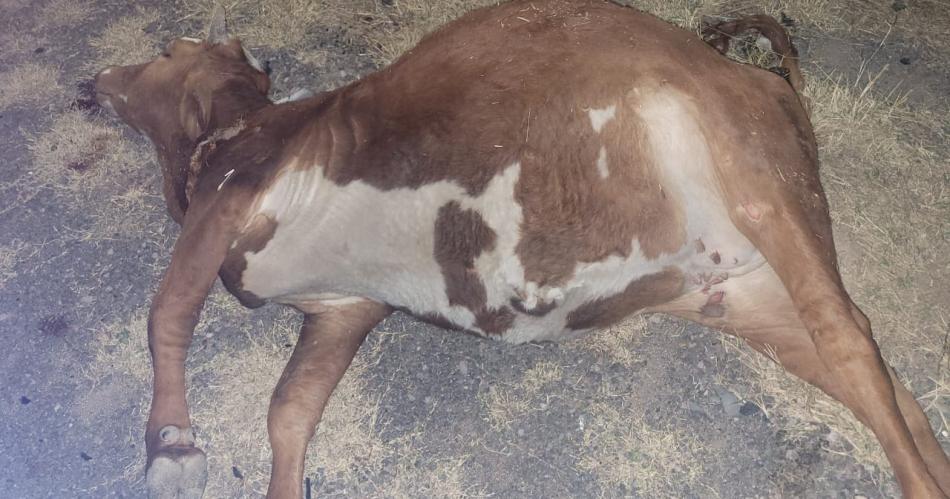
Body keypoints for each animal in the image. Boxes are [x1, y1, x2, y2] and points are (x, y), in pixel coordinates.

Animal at [93, 1, 950, 497]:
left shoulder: (230, 199)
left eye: (165, 51)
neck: (233, 135)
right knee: (888, 385)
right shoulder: (344, 308)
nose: (99, 76)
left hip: (753, 176)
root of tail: (765, 81)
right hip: (744, 296)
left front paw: (170, 443)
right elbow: (289, 410)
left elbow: (167, 312)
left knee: (850, 337)